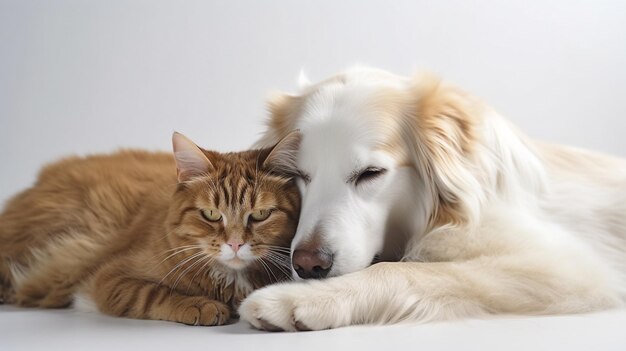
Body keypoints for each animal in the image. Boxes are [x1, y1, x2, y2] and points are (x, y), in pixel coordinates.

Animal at [0, 132, 300, 328]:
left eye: (260, 215)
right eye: (212, 215)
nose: (236, 244)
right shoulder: (111, 278)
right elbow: (154, 293)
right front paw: (200, 305)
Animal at [235, 66, 624, 332]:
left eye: (371, 173)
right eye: (299, 175)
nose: (307, 265)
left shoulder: (566, 266)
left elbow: (402, 271)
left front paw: (300, 298)